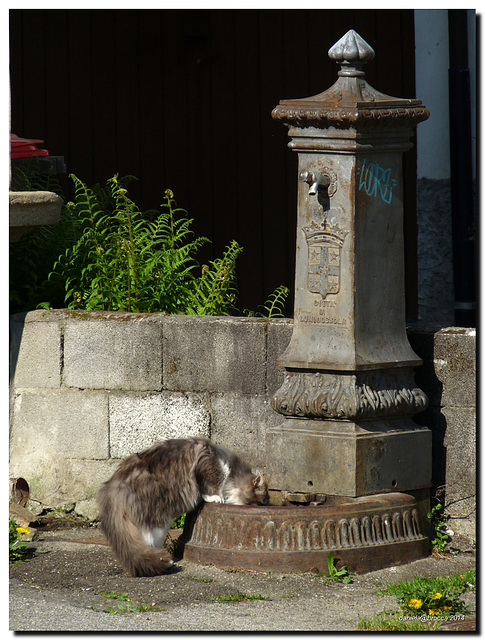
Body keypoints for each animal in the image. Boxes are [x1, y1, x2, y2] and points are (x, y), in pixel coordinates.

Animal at [96, 438, 266, 576]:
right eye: (260, 503)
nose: (262, 505)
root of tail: (114, 484)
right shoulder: (208, 462)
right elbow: (210, 484)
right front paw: (214, 497)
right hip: (157, 519)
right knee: (146, 539)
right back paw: (167, 561)